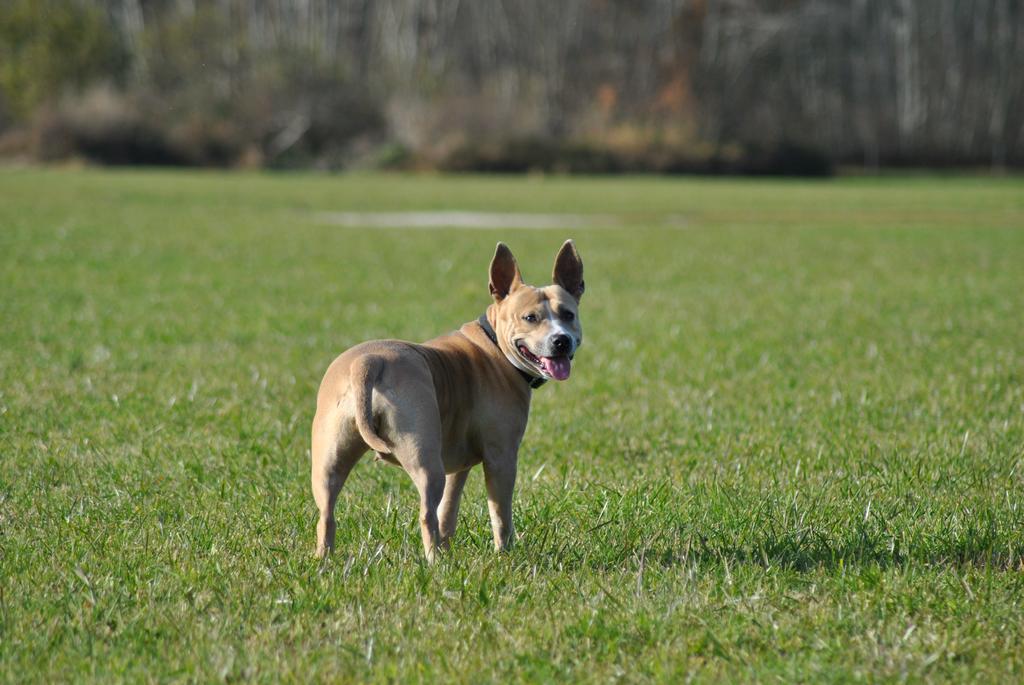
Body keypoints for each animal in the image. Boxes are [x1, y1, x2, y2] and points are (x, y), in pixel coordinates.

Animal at [307, 240, 585, 561]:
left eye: (568, 315)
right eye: (530, 318)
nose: (561, 340)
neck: (495, 346)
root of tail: (369, 363)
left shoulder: (459, 466)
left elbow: (448, 511)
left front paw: (450, 546)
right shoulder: (501, 458)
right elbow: (500, 514)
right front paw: (504, 553)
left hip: (330, 461)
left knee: (327, 514)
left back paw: (325, 559)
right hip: (426, 461)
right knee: (426, 514)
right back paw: (435, 562)